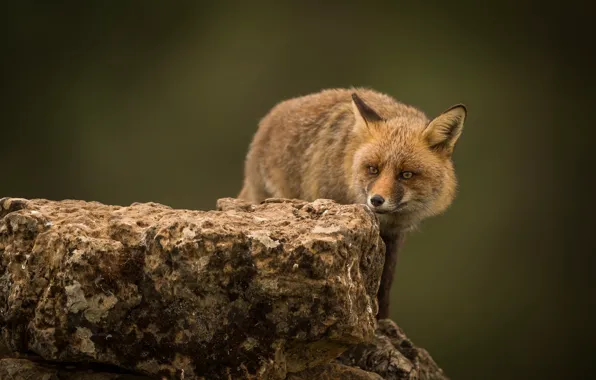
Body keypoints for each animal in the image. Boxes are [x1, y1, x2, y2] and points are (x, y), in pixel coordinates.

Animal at [237, 87, 466, 320]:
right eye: (373, 169)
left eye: (406, 174)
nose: (376, 200)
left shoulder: (394, 237)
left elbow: (385, 286)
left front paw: (381, 319)